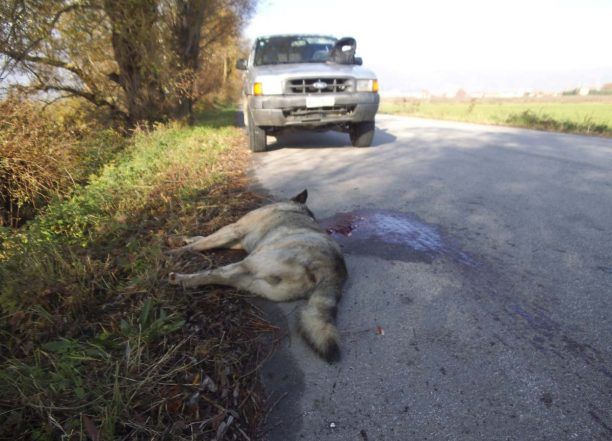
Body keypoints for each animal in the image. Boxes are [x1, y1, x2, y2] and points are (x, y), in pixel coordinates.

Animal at [170, 190, 346, 360]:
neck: (295, 208)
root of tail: (333, 269)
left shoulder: (234, 229)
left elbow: (201, 244)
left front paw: (177, 251)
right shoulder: (236, 240)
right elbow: (203, 239)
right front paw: (187, 238)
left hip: (250, 262)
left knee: (216, 274)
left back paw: (181, 279)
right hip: (255, 282)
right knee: (223, 278)